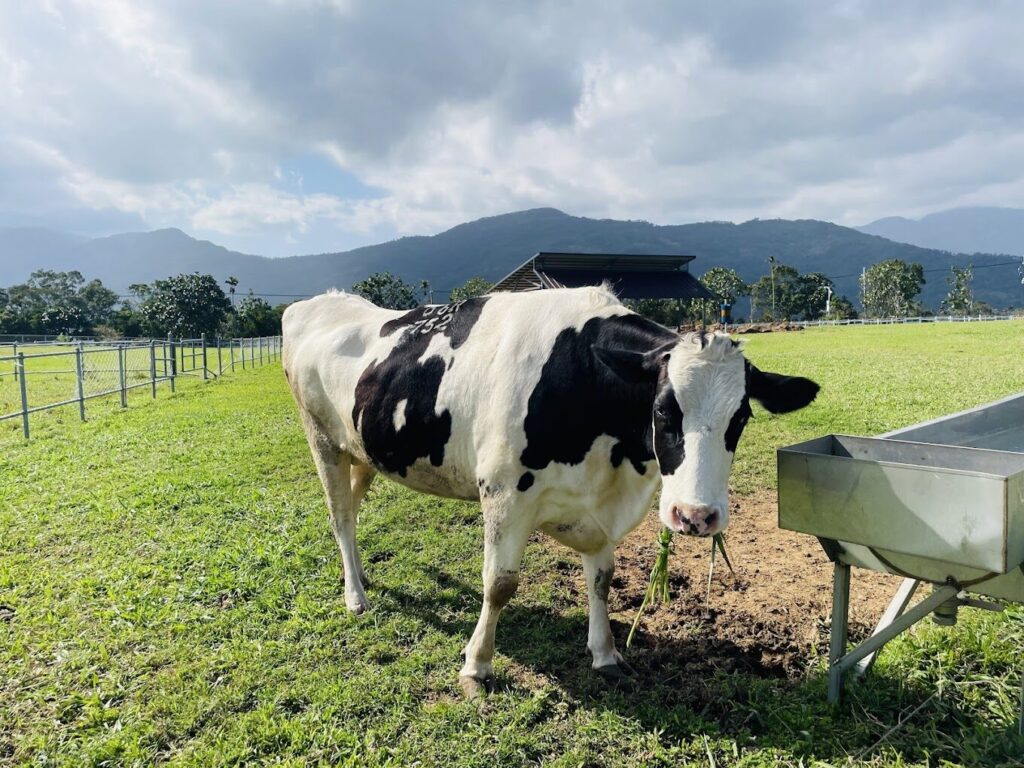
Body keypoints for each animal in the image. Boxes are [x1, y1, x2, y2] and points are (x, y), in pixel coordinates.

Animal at [278, 284, 815, 696]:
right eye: (663, 410)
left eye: (741, 418)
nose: (695, 516)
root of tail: (318, 302)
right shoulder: (503, 494)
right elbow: (499, 583)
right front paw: (477, 665)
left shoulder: (594, 506)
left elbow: (602, 579)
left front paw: (605, 653)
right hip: (321, 440)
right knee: (340, 517)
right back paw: (355, 596)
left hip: (363, 450)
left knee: (352, 507)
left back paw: (361, 578)